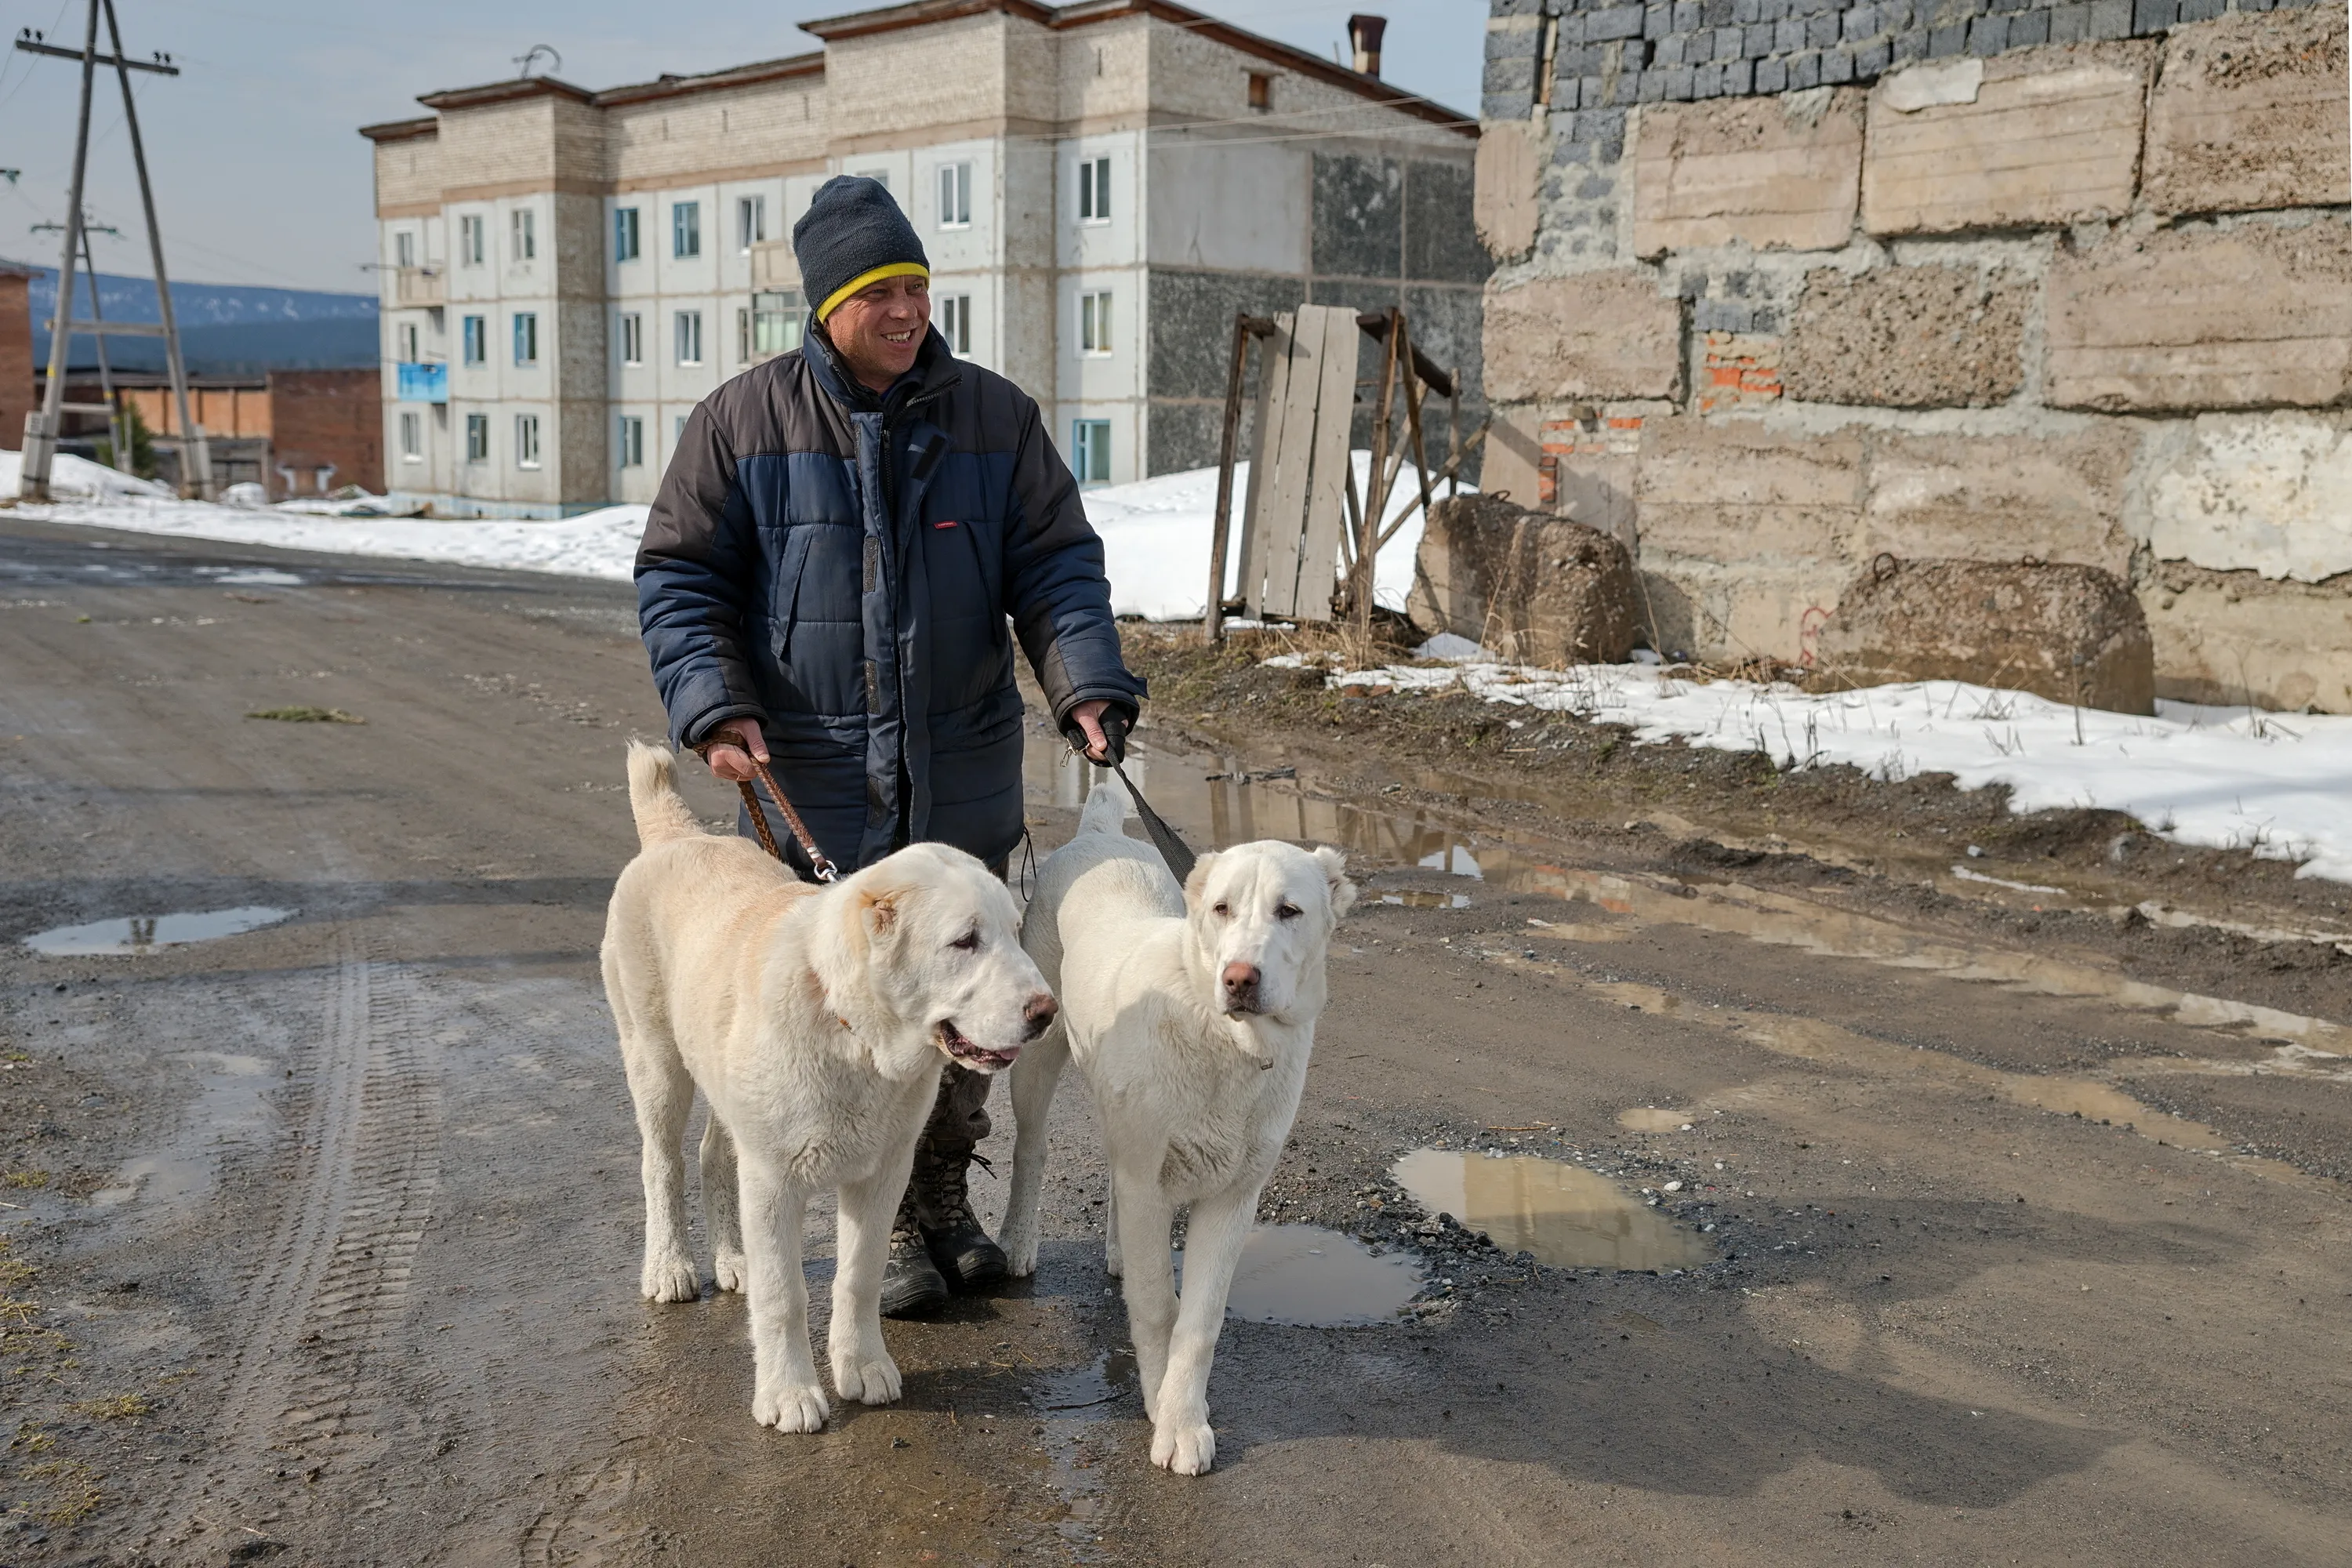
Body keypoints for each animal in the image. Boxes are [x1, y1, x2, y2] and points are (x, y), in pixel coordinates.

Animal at [602, 747, 1054, 1439]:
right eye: (965, 941)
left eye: (1012, 930)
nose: (1048, 1012)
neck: (854, 1037)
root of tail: (676, 834)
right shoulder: (774, 1182)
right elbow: (784, 1295)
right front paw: (789, 1393)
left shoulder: (883, 1174)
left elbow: (859, 1278)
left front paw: (862, 1366)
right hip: (656, 1062)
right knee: (662, 1165)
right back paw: (670, 1267)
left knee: (712, 1157)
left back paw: (732, 1260)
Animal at [997, 780, 1364, 1476]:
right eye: (1221, 909)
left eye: (1290, 911)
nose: (1239, 978)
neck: (1224, 1040)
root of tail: (1097, 833)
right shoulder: (1150, 1181)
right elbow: (1157, 1305)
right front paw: (1158, 1400)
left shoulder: (1233, 1198)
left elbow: (1200, 1321)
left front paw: (1183, 1417)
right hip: (1037, 1057)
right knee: (1030, 1153)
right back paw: (1017, 1242)